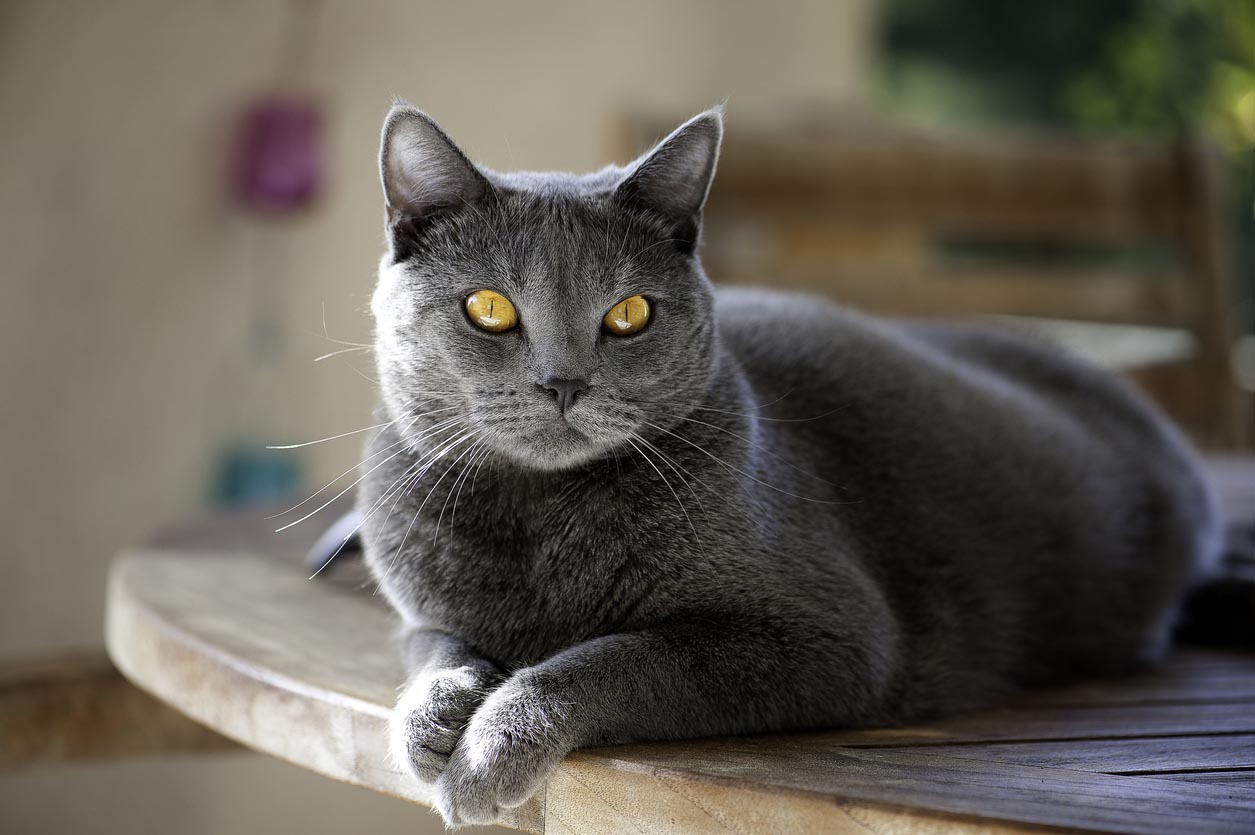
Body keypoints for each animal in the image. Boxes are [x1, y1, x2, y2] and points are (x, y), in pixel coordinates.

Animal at [356, 102, 1224, 818]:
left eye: (629, 314)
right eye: (488, 308)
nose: (563, 382)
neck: (536, 520)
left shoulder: (828, 638)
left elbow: (609, 658)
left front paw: (491, 745)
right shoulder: (420, 608)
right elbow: (427, 644)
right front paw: (432, 713)